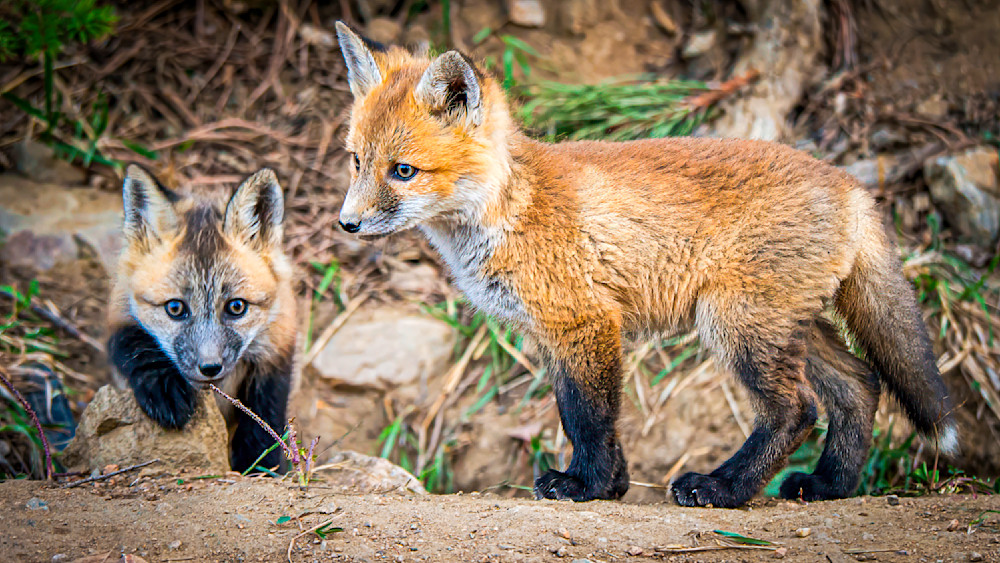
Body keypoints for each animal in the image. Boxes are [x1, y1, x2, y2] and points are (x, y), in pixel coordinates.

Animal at [107, 164, 298, 473]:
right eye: (175, 308)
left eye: (236, 307)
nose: (210, 368)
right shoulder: (119, 310)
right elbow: (135, 347)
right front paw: (164, 388)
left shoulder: (277, 345)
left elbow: (263, 419)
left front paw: (259, 466)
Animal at [332, 22, 958, 507]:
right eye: (358, 162)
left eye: (404, 171)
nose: (346, 224)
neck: (512, 209)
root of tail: (848, 182)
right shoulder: (557, 334)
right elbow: (580, 415)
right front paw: (612, 486)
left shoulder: (585, 322)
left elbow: (590, 417)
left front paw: (585, 485)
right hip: (784, 325)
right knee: (859, 384)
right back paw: (830, 485)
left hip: (735, 324)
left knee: (797, 409)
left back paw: (723, 489)